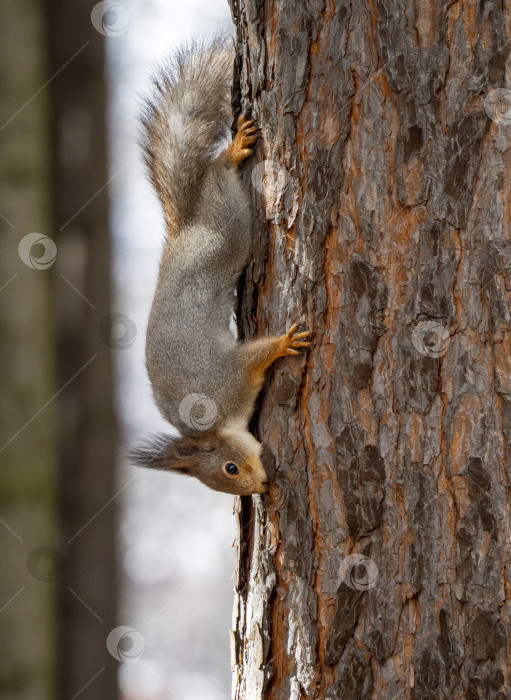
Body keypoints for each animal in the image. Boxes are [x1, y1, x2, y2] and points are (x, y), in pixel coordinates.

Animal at [130, 38, 310, 494]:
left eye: (230, 468)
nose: (261, 487)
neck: (215, 423)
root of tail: (184, 229)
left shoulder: (229, 375)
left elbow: (256, 354)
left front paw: (284, 342)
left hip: (226, 227)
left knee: (217, 173)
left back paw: (232, 152)